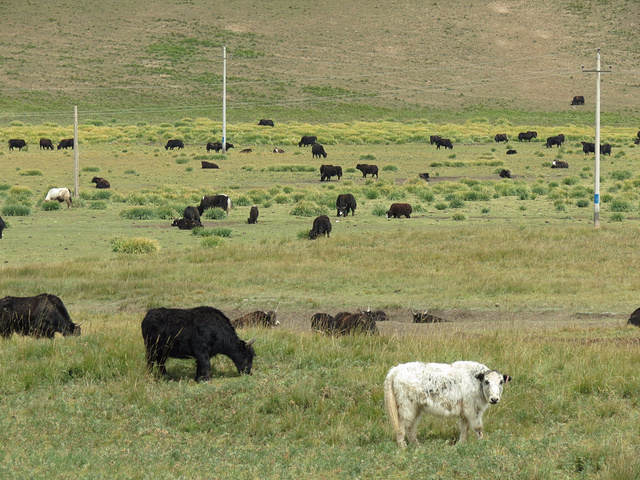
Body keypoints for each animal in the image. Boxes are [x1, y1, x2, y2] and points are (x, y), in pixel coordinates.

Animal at [382, 360, 512, 446]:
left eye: (501, 382)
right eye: (486, 381)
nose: (494, 399)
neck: (476, 381)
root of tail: (396, 369)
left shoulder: (465, 412)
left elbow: (464, 428)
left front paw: (461, 444)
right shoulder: (471, 409)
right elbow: (477, 427)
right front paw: (482, 444)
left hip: (416, 408)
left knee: (411, 427)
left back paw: (417, 445)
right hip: (406, 407)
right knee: (401, 426)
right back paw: (403, 447)